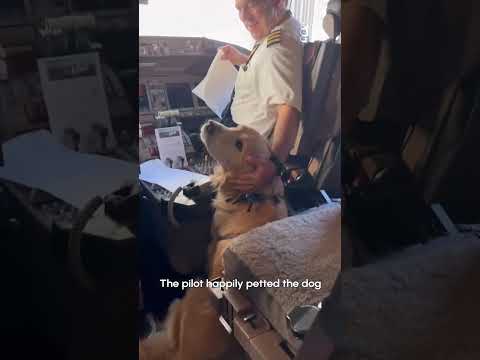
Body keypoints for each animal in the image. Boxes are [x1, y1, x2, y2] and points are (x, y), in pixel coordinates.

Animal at [141, 121, 286, 360]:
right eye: (237, 126)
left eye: (239, 145)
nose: (210, 124)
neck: (249, 198)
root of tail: (184, 353)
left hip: (193, 289)